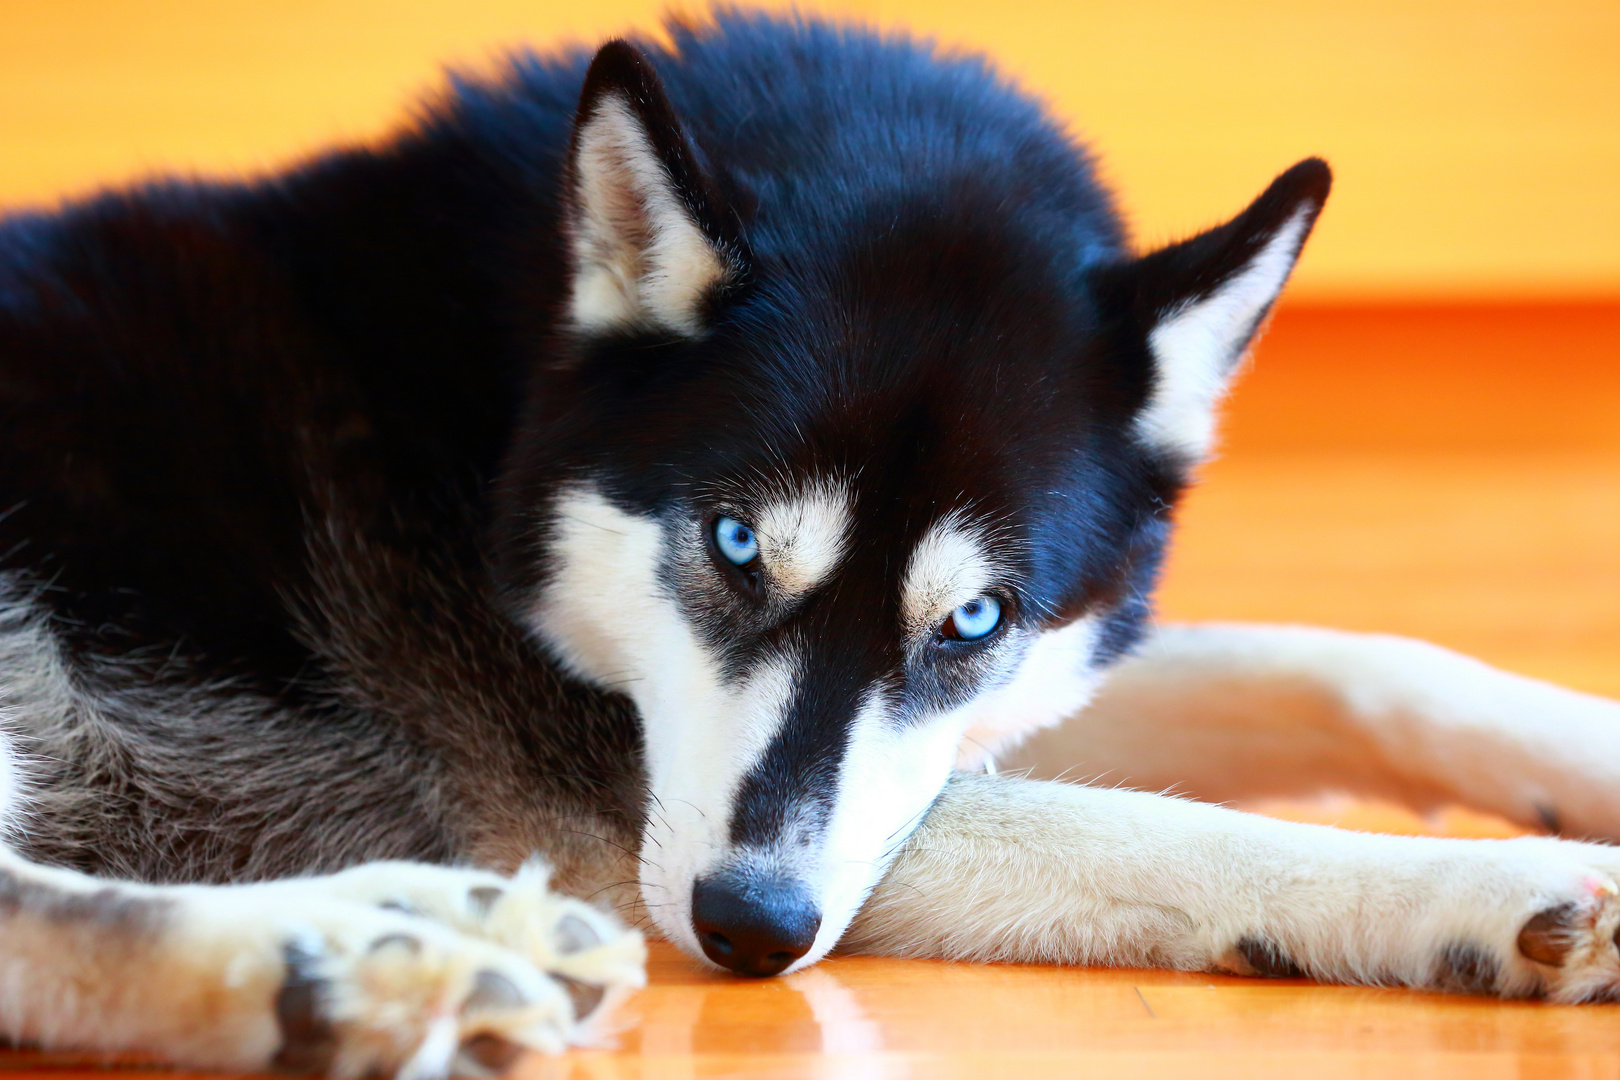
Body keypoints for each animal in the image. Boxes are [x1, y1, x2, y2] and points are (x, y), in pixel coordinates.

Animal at [3, 12, 1620, 1075]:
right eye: (732, 543)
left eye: (974, 622)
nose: (749, 931)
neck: (494, 392)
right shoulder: (630, 823)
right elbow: (1178, 831)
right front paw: (1496, 890)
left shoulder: (963, 724)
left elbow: (1338, 662)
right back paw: (358, 958)